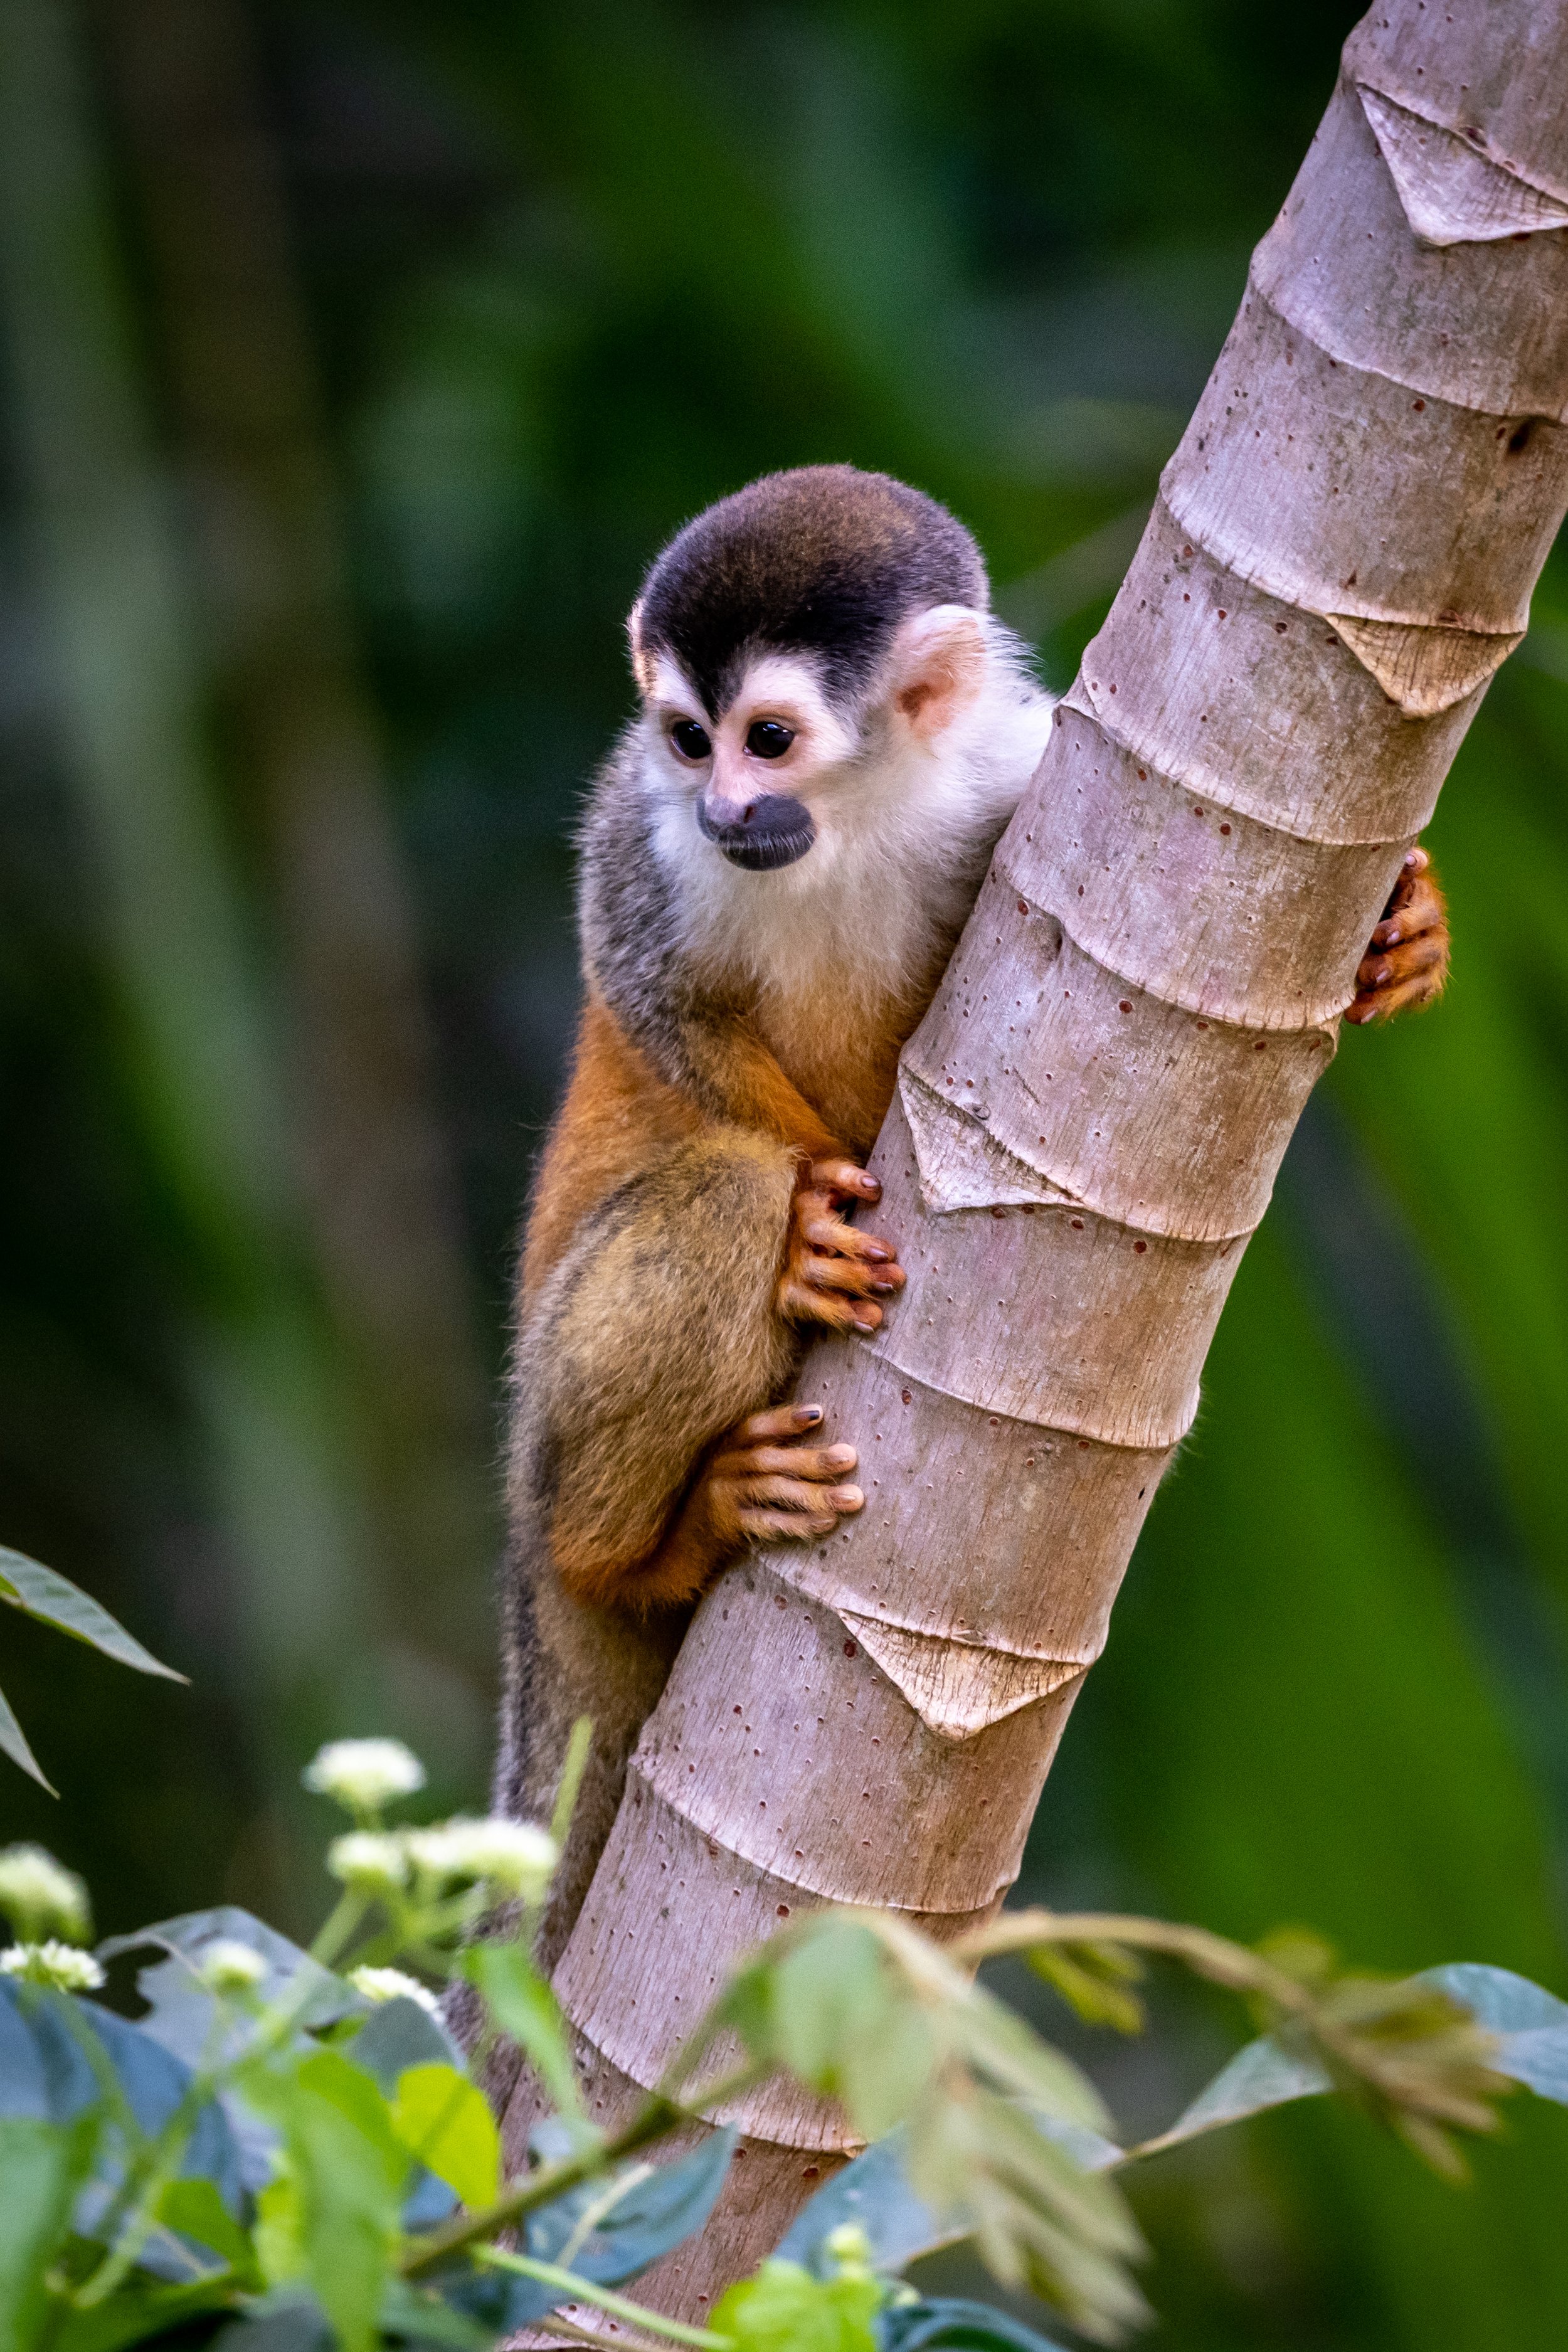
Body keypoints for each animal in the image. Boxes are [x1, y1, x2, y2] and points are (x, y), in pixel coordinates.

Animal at [494, 464, 1451, 1972]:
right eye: (689, 738)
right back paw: (641, 1546)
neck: (856, 820)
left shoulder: (1024, 774)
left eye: (768, 740)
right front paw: (817, 1211)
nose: (723, 810)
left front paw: (1402, 930)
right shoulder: (631, 826)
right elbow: (657, 1005)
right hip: (542, 1418)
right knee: (718, 1194)